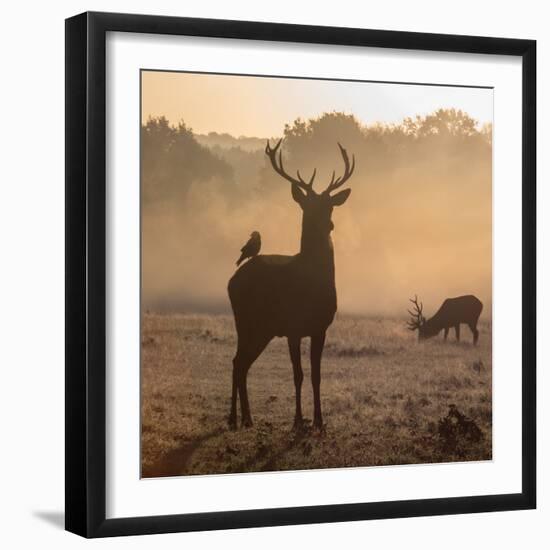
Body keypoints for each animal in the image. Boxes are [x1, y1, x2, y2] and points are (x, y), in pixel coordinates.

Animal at [229, 139, 358, 432]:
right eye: (307, 205)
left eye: (330, 205)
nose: (328, 224)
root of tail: (232, 281)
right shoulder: (293, 328)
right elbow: (297, 374)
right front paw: (298, 420)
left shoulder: (320, 327)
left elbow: (316, 375)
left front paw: (319, 422)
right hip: (246, 321)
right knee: (237, 362)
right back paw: (233, 419)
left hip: (261, 329)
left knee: (241, 363)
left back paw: (247, 419)